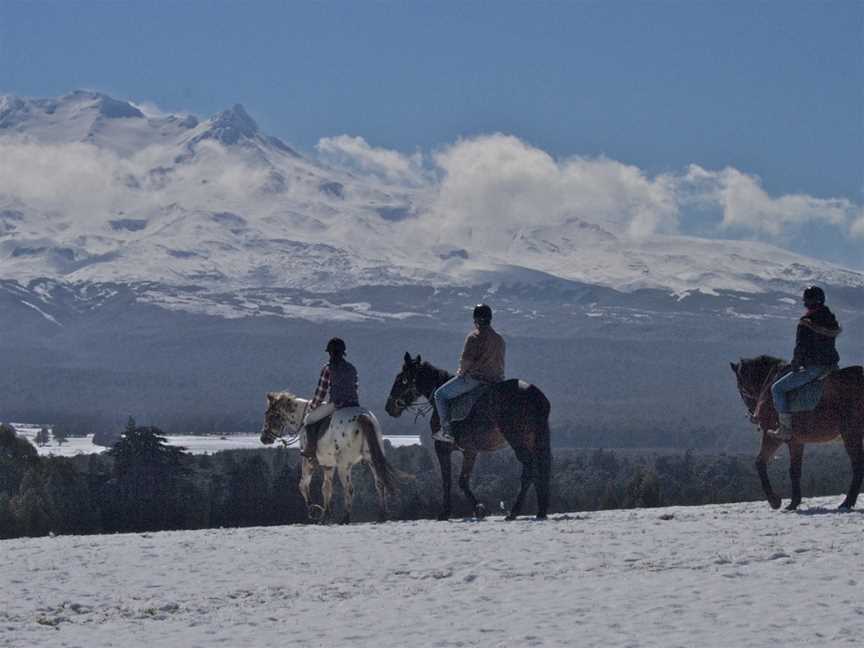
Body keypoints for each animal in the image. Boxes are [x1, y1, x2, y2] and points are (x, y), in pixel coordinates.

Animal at [386, 354, 552, 520]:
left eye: (402, 379)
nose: (389, 408)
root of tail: (533, 393)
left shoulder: (443, 448)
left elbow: (448, 480)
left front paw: (448, 512)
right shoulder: (470, 451)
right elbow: (462, 481)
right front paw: (479, 509)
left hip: (517, 439)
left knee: (529, 470)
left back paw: (514, 512)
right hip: (533, 440)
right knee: (538, 470)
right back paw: (540, 511)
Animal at [728, 354, 864, 512]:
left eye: (741, 388)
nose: (753, 415)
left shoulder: (773, 437)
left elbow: (760, 462)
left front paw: (775, 501)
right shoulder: (796, 442)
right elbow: (794, 470)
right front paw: (793, 502)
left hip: (851, 434)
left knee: (857, 466)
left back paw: (846, 503)